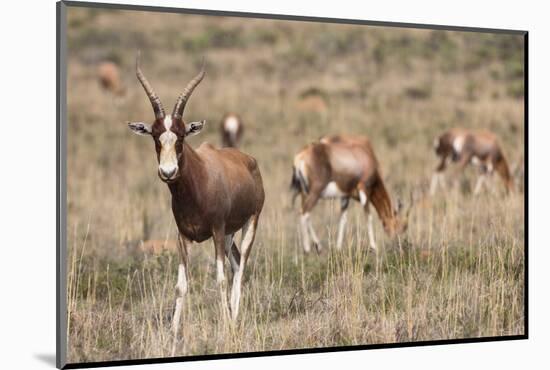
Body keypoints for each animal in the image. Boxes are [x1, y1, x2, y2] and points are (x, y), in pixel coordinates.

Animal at [127, 52, 266, 356]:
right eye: (155, 135)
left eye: (181, 135)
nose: (168, 172)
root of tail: (248, 159)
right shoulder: (183, 237)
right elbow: (181, 285)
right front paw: (172, 338)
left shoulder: (216, 231)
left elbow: (220, 279)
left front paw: (225, 332)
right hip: (229, 235)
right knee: (236, 264)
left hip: (248, 224)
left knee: (241, 268)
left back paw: (233, 323)